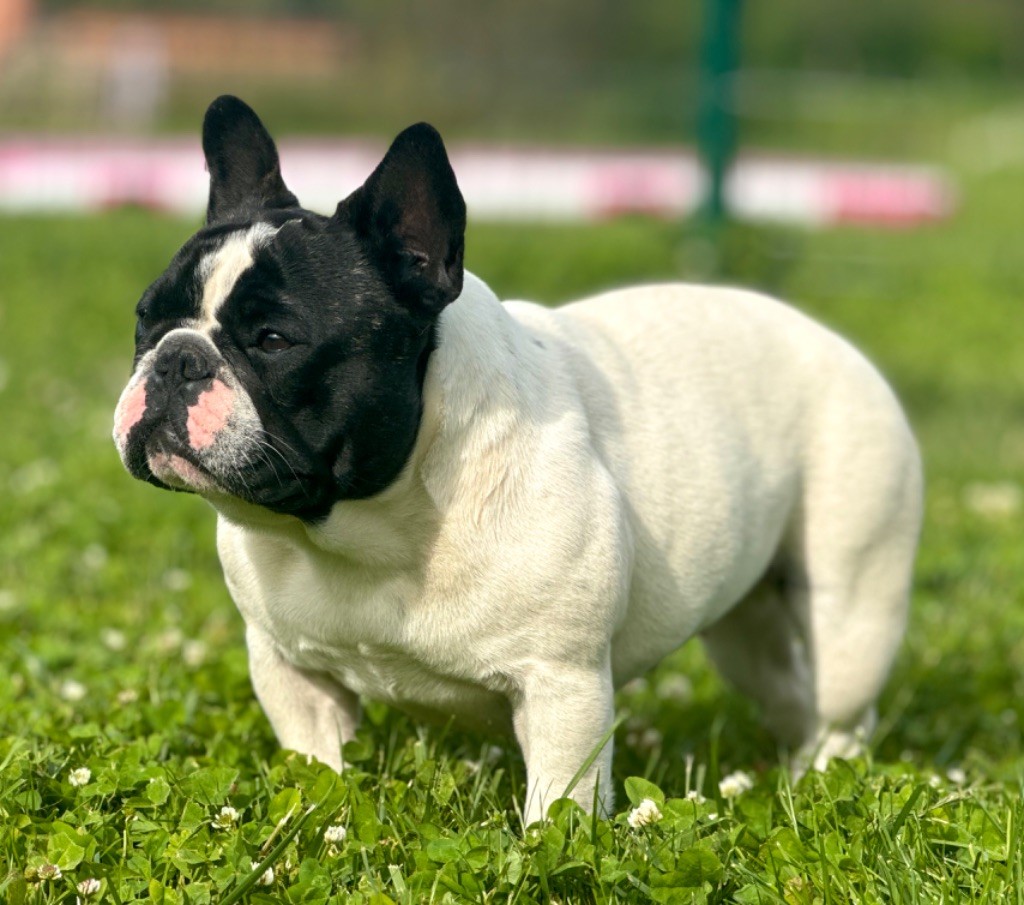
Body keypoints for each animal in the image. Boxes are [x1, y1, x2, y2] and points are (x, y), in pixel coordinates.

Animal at [114, 95, 922, 825]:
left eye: (275, 340)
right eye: (146, 320)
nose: (175, 359)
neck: (369, 524)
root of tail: (834, 340)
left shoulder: (561, 685)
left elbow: (558, 803)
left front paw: (551, 861)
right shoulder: (290, 670)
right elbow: (318, 766)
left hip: (851, 598)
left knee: (842, 707)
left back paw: (824, 781)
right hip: (743, 622)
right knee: (786, 689)